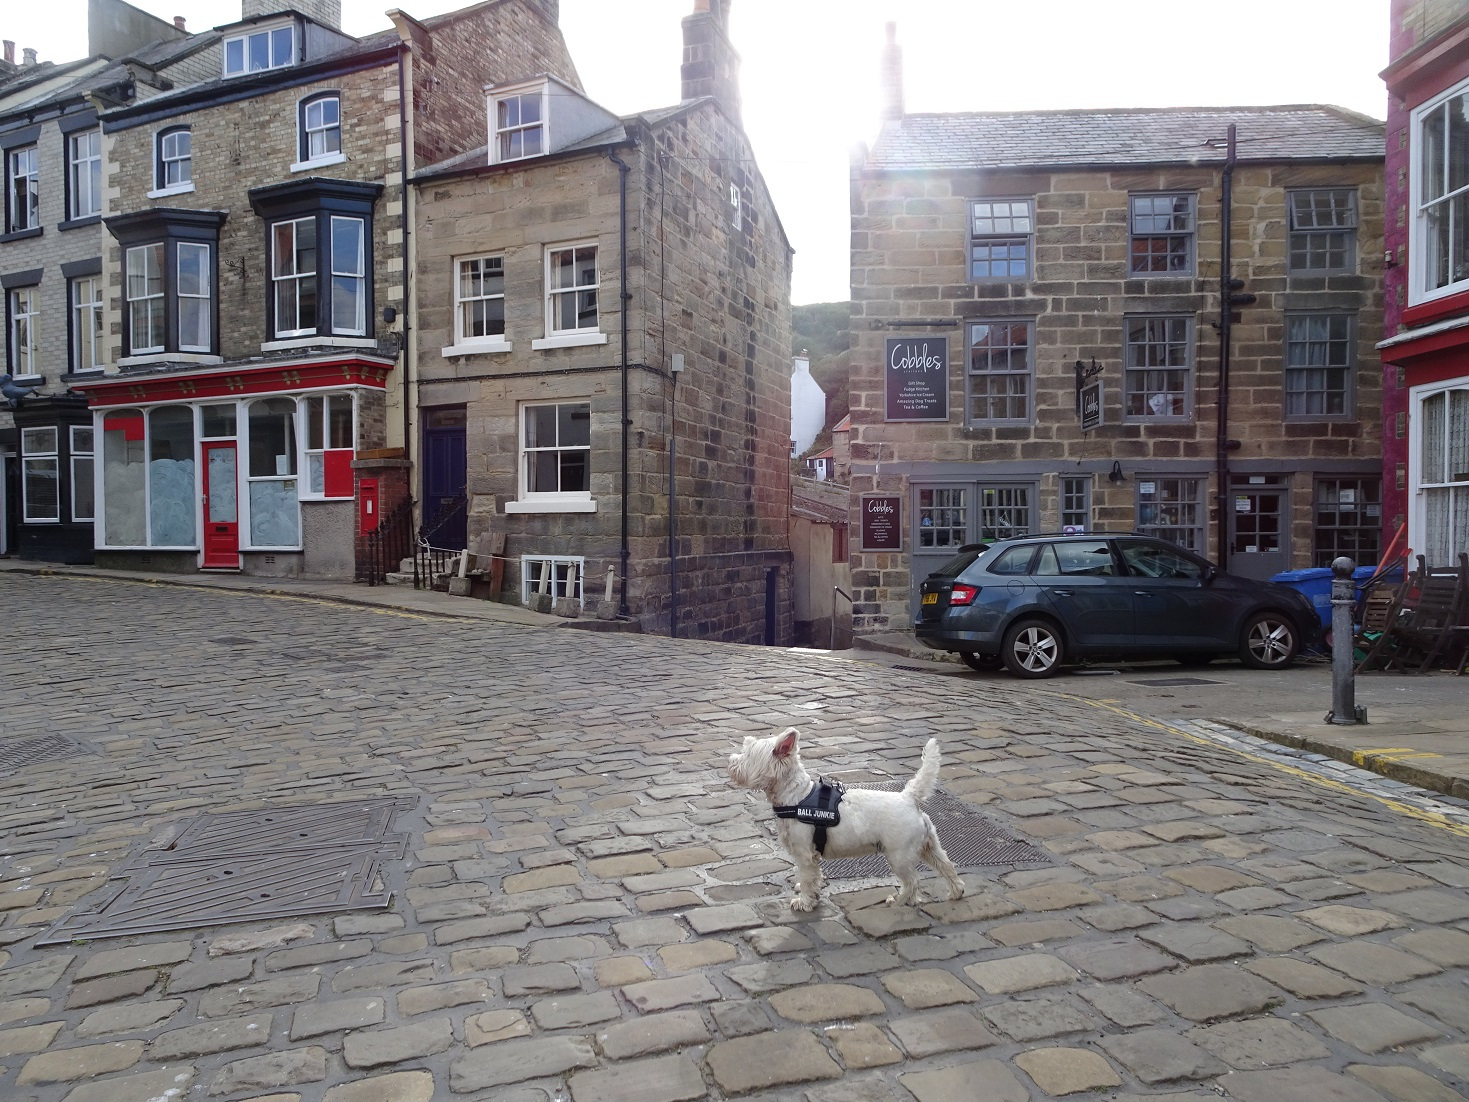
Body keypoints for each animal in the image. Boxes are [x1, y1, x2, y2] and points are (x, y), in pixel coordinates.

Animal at [725, 725, 963, 916]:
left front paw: (804, 902)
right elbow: (812, 877)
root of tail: (909, 798)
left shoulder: (805, 853)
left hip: (899, 855)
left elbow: (807, 876)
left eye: (748, 754)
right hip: (929, 846)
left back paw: (897, 902)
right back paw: (955, 892)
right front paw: (808, 891)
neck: (796, 797)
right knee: (947, 866)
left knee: (912, 882)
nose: (730, 761)